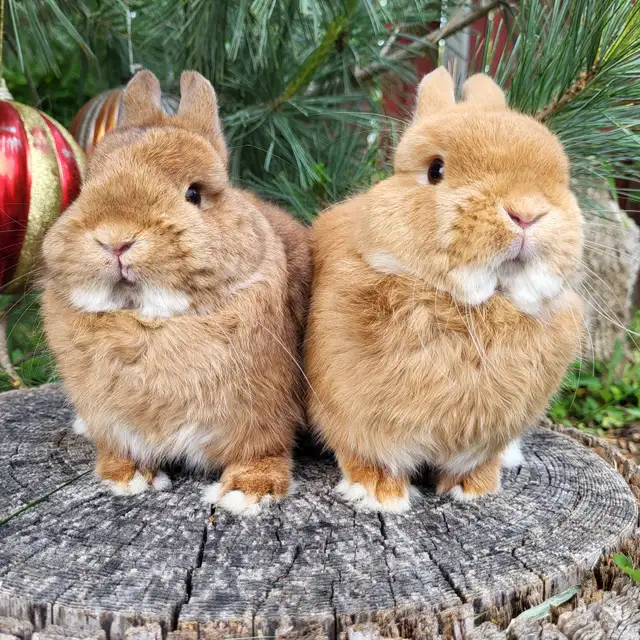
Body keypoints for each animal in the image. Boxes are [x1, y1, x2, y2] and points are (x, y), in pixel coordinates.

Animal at [42, 70, 311, 516]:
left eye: (194, 193)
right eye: (86, 186)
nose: (116, 239)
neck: (149, 320)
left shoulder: (263, 415)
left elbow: (263, 450)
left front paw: (247, 492)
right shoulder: (112, 420)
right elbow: (118, 449)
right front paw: (127, 478)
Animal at [305, 67, 584, 512]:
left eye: (560, 178)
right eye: (435, 170)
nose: (526, 212)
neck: (474, 307)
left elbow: (477, 462)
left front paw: (476, 488)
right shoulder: (352, 416)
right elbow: (364, 454)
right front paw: (377, 493)